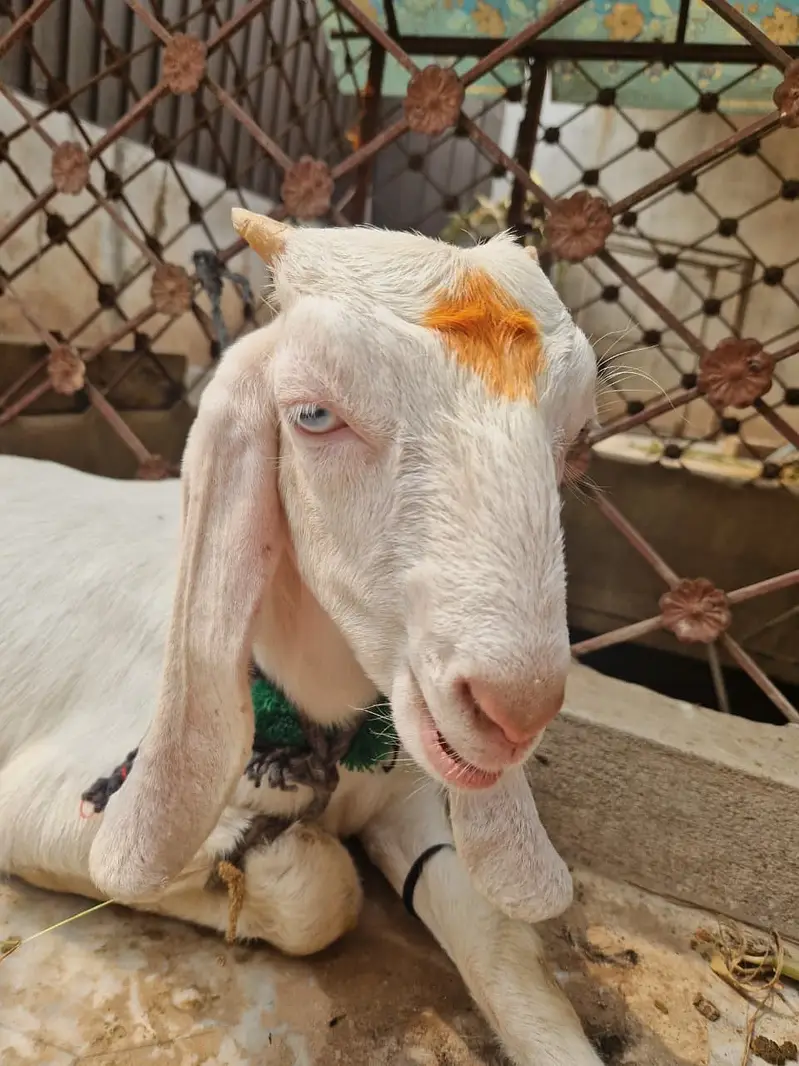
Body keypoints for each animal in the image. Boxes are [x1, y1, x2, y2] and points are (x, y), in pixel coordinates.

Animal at [0, 216, 601, 1066]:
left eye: (577, 439)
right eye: (313, 415)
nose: (514, 709)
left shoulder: (409, 787)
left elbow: (496, 935)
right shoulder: (48, 802)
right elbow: (322, 892)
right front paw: (255, 857)